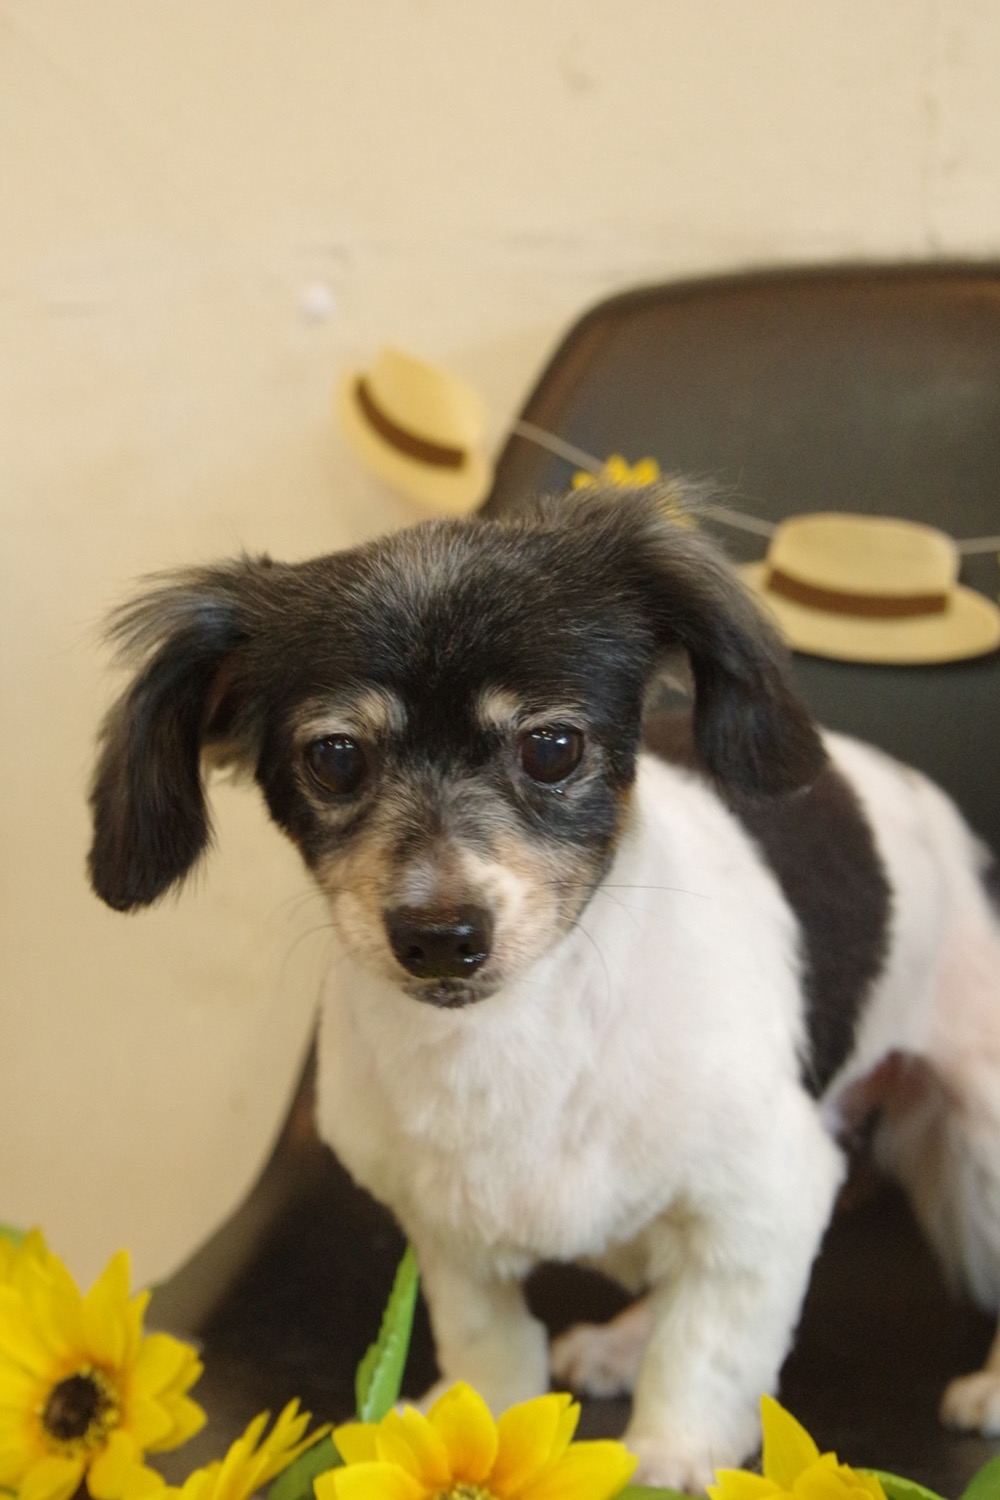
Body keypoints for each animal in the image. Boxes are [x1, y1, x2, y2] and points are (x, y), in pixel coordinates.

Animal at [88, 488, 1000, 1489]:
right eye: (334, 757)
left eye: (552, 746)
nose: (441, 936)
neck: (513, 1042)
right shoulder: (445, 1228)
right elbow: (489, 1342)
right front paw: (481, 1416)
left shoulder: (772, 1193)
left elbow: (709, 1347)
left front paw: (672, 1458)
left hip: (980, 1136)